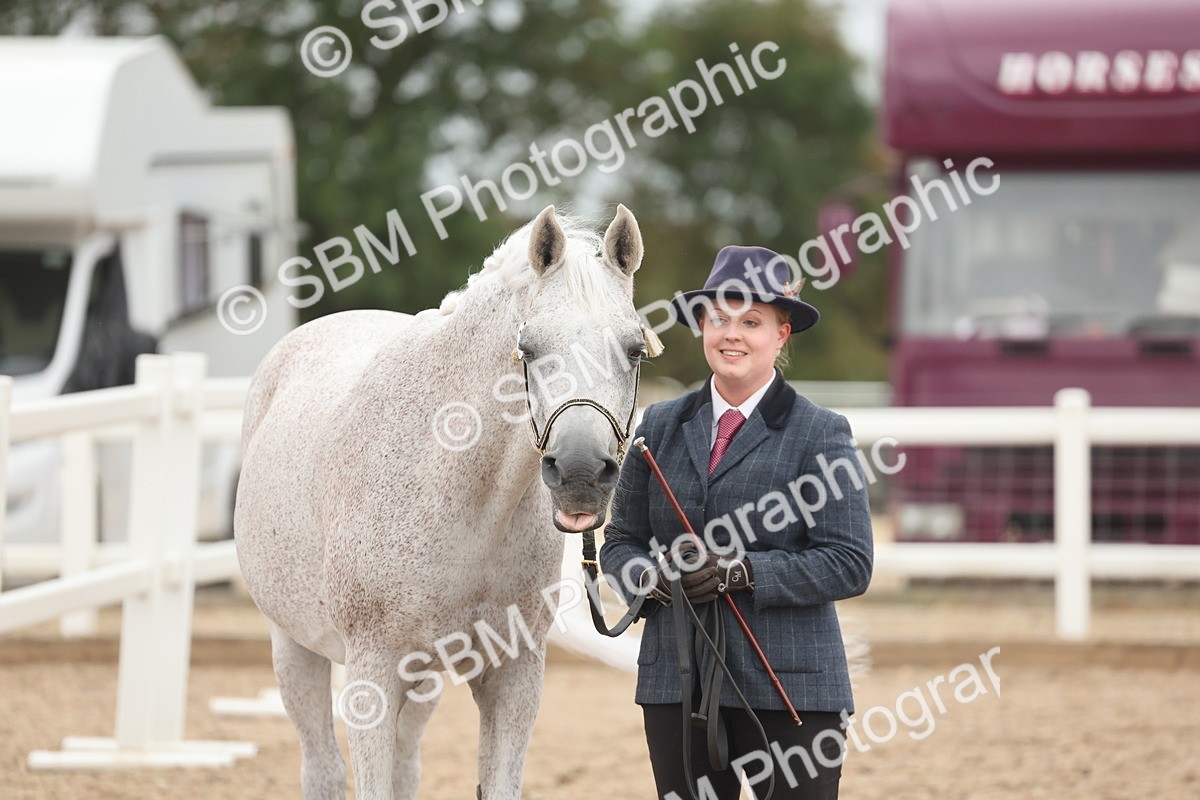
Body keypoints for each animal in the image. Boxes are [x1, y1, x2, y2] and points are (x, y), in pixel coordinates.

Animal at [234, 205, 655, 799]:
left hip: (421, 679)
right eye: (529, 350)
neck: (465, 498)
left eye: (634, 350)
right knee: (323, 770)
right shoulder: (371, 679)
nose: (579, 474)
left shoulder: (512, 676)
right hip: (294, 647)